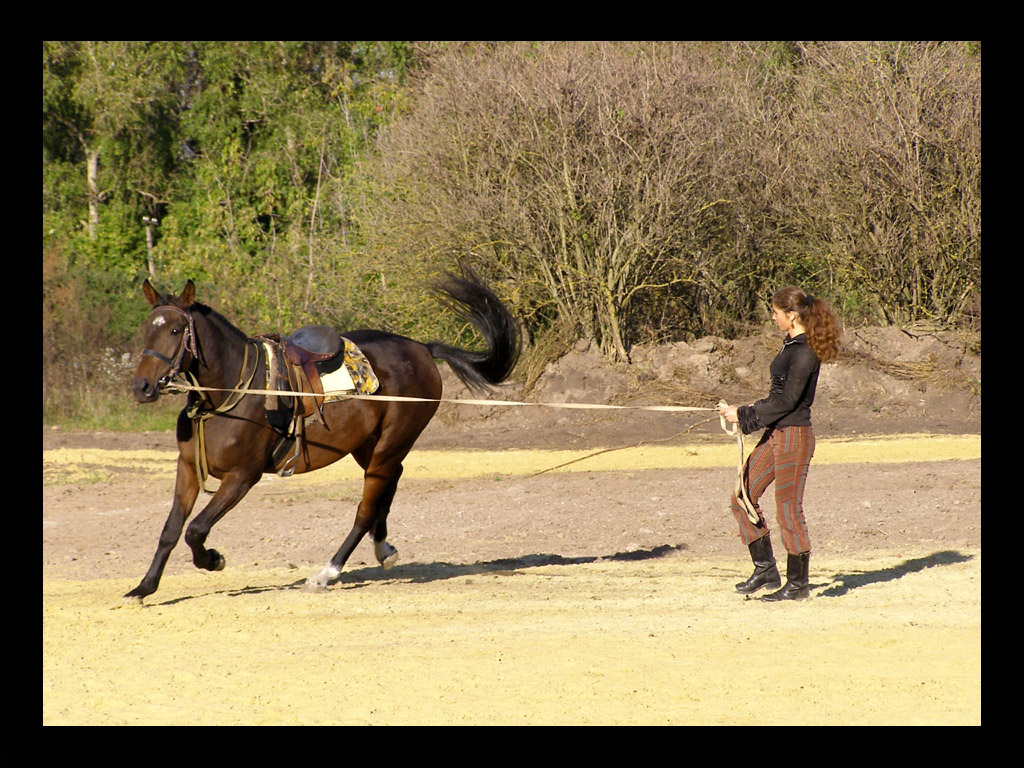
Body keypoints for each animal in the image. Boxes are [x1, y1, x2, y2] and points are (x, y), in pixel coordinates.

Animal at [123, 268, 520, 606]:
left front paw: (214, 559)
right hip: (369, 446)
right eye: (146, 330)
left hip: (391, 443)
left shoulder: (242, 477)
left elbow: (196, 529)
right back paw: (383, 549)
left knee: (366, 508)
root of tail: (422, 349)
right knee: (390, 483)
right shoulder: (188, 469)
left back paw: (327, 573)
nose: (141, 387)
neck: (230, 391)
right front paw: (143, 588)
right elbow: (171, 530)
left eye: (176, 331)